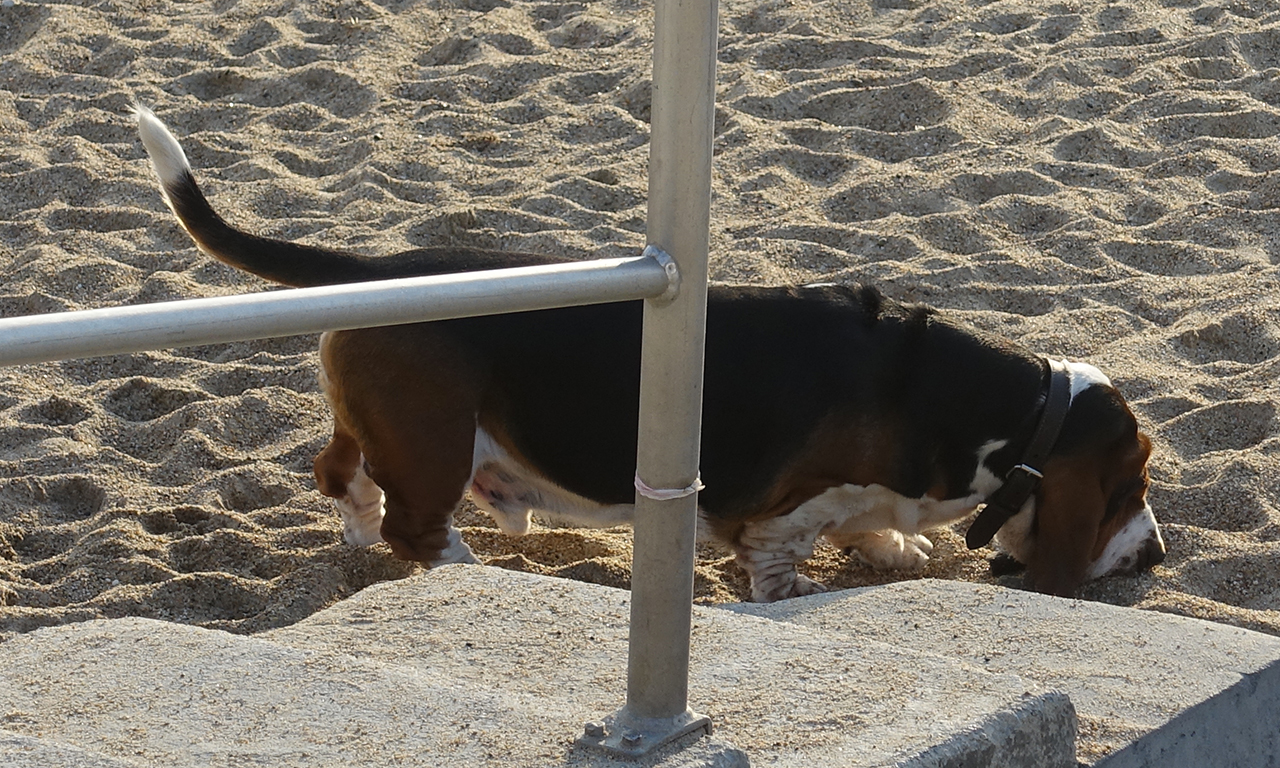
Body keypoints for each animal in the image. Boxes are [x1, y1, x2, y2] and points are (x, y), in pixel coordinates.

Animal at [135, 106, 1167, 599]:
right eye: (1129, 488)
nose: (1157, 557)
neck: (1005, 417)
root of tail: (379, 270)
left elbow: (874, 530)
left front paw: (894, 543)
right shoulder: (778, 516)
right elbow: (783, 557)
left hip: (384, 427)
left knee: (338, 477)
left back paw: (359, 530)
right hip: (435, 443)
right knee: (413, 529)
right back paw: (468, 572)